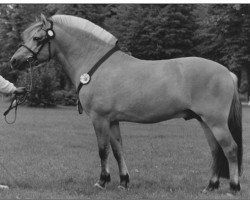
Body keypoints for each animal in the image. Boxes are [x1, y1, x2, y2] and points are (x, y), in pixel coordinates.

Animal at [10, 13, 242, 194]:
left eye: (37, 37)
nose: (14, 61)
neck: (94, 63)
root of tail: (228, 73)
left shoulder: (100, 119)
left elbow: (103, 150)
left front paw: (102, 181)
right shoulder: (113, 121)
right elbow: (117, 150)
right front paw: (124, 182)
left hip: (216, 123)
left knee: (230, 149)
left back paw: (233, 188)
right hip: (205, 122)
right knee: (216, 151)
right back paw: (210, 186)